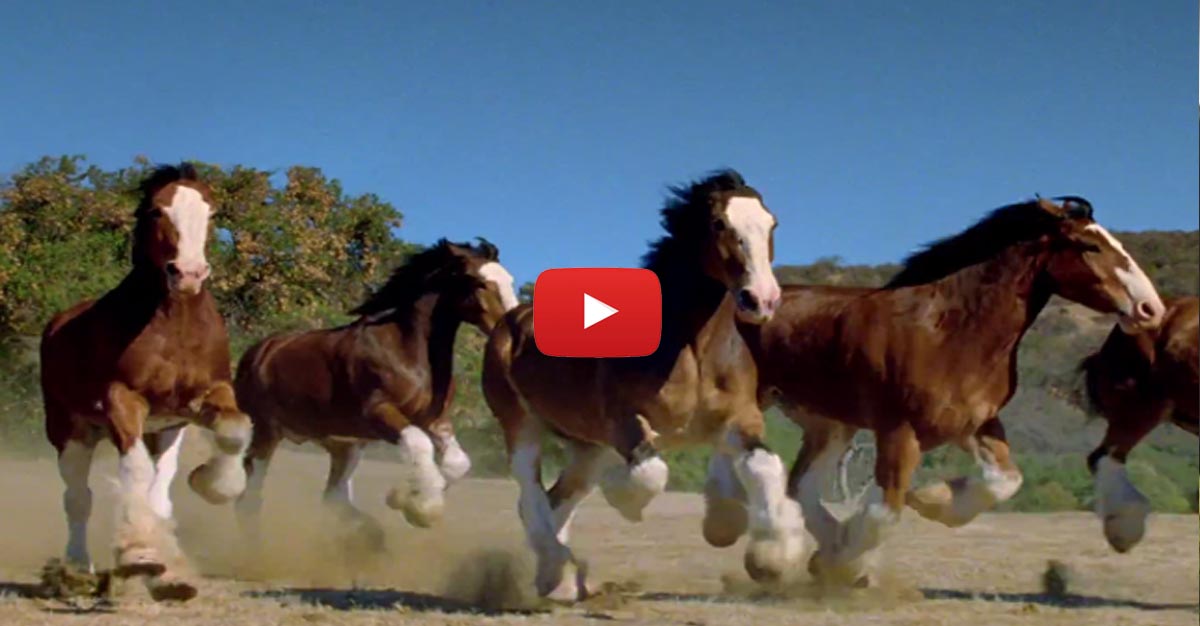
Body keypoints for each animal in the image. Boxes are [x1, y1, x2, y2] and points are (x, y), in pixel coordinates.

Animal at [39, 161, 253, 599]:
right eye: (157, 211)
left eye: (211, 213)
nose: (188, 274)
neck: (176, 324)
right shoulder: (123, 401)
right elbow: (134, 472)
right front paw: (140, 555)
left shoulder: (203, 398)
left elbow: (234, 431)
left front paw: (212, 484)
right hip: (70, 430)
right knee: (78, 498)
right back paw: (76, 568)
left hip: (162, 430)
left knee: (158, 489)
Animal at [231, 236, 518, 532]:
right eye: (480, 283)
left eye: (509, 280)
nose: (510, 327)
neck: (407, 353)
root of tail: (259, 351)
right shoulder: (378, 412)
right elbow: (418, 443)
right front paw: (422, 509)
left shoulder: (434, 419)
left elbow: (457, 463)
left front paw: (404, 496)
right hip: (266, 432)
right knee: (250, 499)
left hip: (344, 445)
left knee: (333, 497)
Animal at [477, 169, 796, 599]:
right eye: (718, 224)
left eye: (771, 224)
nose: (760, 300)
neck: (692, 349)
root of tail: (510, 320)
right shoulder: (626, 421)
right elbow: (649, 474)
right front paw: (627, 498)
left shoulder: (739, 421)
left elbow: (766, 466)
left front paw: (769, 558)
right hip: (521, 425)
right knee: (531, 497)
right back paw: (559, 573)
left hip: (589, 446)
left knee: (558, 499)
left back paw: (559, 580)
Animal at [734, 196, 1166, 585]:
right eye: (1090, 245)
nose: (1151, 309)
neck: (949, 331)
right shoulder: (899, 430)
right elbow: (885, 511)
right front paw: (845, 564)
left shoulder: (975, 424)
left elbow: (1004, 481)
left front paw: (933, 501)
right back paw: (770, 557)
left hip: (829, 423)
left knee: (800, 484)